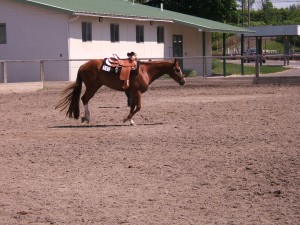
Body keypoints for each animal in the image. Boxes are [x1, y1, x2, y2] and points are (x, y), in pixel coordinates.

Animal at [54, 57, 184, 125]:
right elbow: (138, 107)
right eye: (177, 69)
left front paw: (131, 121)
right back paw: (87, 118)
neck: (145, 71)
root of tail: (82, 66)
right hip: (92, 87)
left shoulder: (132, 92)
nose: (183, 81)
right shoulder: (137, 92)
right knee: (84, 98)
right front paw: (125, 119)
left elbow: (132, 107)